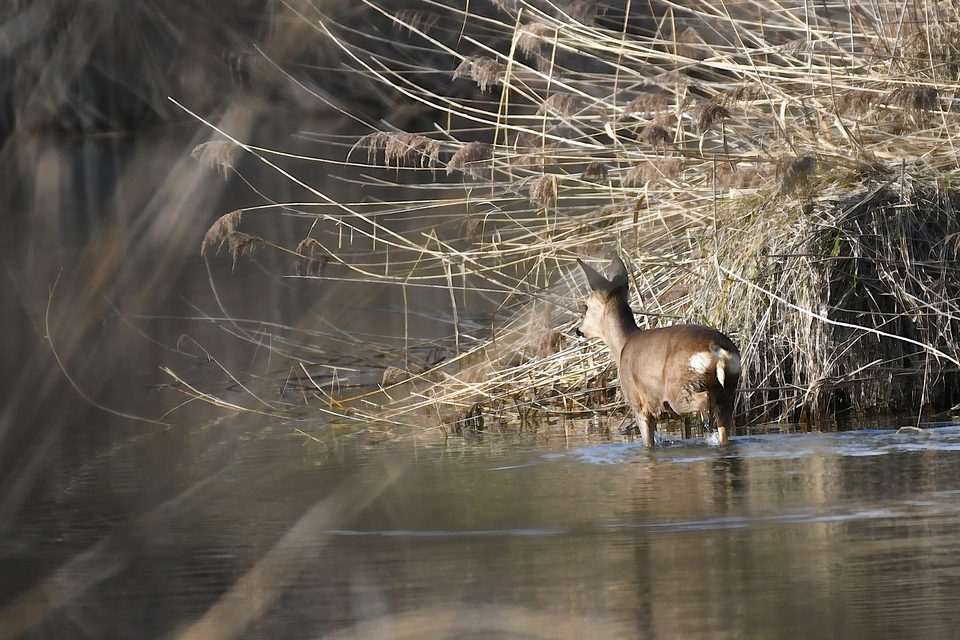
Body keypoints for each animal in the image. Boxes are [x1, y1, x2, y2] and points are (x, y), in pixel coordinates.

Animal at [576, 255, 744, 444]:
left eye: (586, 306)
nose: (578, 330)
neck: (622, 346)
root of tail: (717, 349)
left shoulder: (639, 404)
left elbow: (648, 442)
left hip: (679, 389)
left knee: (703, 400)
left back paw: (706, 424)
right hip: (729, 389)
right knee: (724, 430)